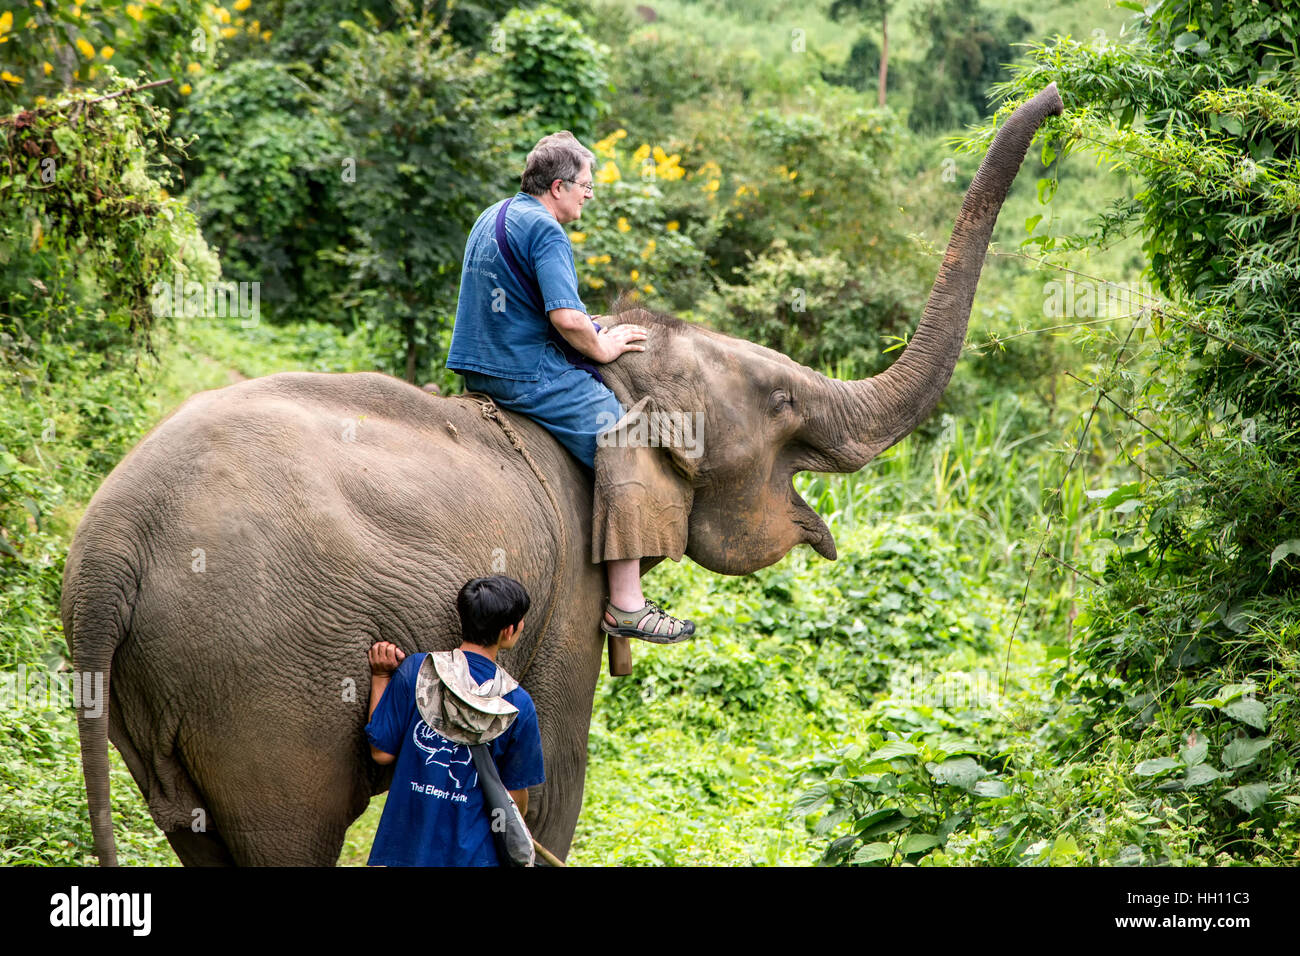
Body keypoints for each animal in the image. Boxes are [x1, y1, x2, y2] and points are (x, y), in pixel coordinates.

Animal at [64, 83, 1063, 865]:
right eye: (782, 404)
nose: (1057, 98)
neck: (603, 379)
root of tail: (107, 553)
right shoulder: (566, 599)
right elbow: (551, 781)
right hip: (262, 679)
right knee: (288, 833)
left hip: (164, 693)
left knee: (195, 833)